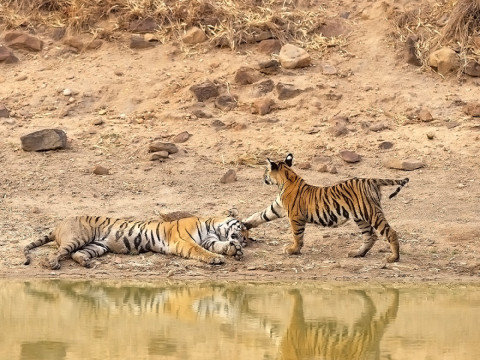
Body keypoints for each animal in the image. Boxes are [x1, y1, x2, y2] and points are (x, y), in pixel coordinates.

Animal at [244, 153, 408, 262]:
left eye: (266, 171)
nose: (262, 177)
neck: (285, 180)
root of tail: (371, 180)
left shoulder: (295, 216)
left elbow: (297, 235)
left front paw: (293, 250)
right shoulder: (276, 207)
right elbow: (260, 215)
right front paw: (244, 223)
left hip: (371, 212)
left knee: (390, 232)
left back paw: (393, 258)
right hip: (360, 217)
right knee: (370, 236)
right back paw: (357, 253)